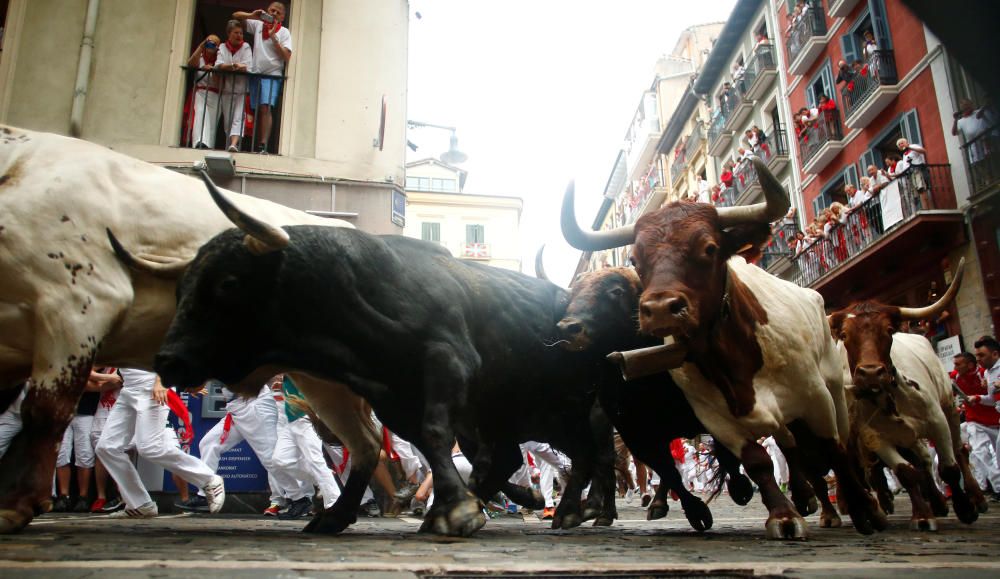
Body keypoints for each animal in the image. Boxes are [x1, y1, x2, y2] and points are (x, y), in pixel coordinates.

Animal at [152, 225, 620, 536]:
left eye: (228, 283)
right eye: (179, 289)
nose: (167, 359)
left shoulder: (447, 362)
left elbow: (431, 434)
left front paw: (456, 512)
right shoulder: (391, 397)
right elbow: (382, 446)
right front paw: (338, 514)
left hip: (565, 408)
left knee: (588, 454)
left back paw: (570, 511)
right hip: (501, 415)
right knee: (509, 458)